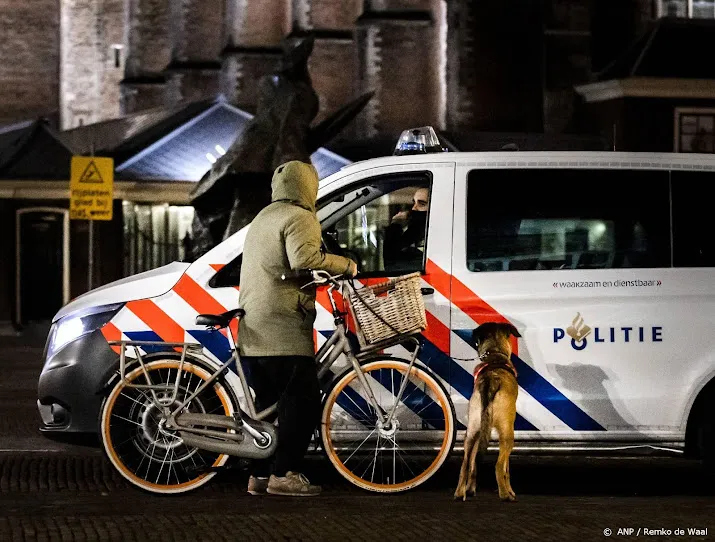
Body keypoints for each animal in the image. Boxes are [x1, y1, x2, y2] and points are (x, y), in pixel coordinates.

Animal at [456, 324, 524, 506]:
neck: (495, 356)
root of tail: (490, 381)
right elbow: (507, 468)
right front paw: (510, 490)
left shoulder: (479, 433)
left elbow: (473, 463)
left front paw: (470, 489)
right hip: (507, 434)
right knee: (499, 466)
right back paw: (505, 495)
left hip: (472, 431)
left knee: (466, 463)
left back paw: (460, 493)